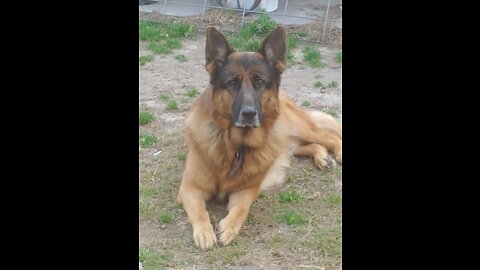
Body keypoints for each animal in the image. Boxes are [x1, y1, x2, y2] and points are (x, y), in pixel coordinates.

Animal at [177, 25, 342, 249]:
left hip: (299, 129)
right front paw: (204, 232)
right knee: (308, 146)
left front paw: (228, 228)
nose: (249, 113)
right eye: (232, 83)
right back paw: (322, 157)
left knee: (330, 138)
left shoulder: (246, 191)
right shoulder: (189, 188)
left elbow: (241, 210)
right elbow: (199, 211)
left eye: (260, 82)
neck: (236, 146)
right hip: (286, 140)